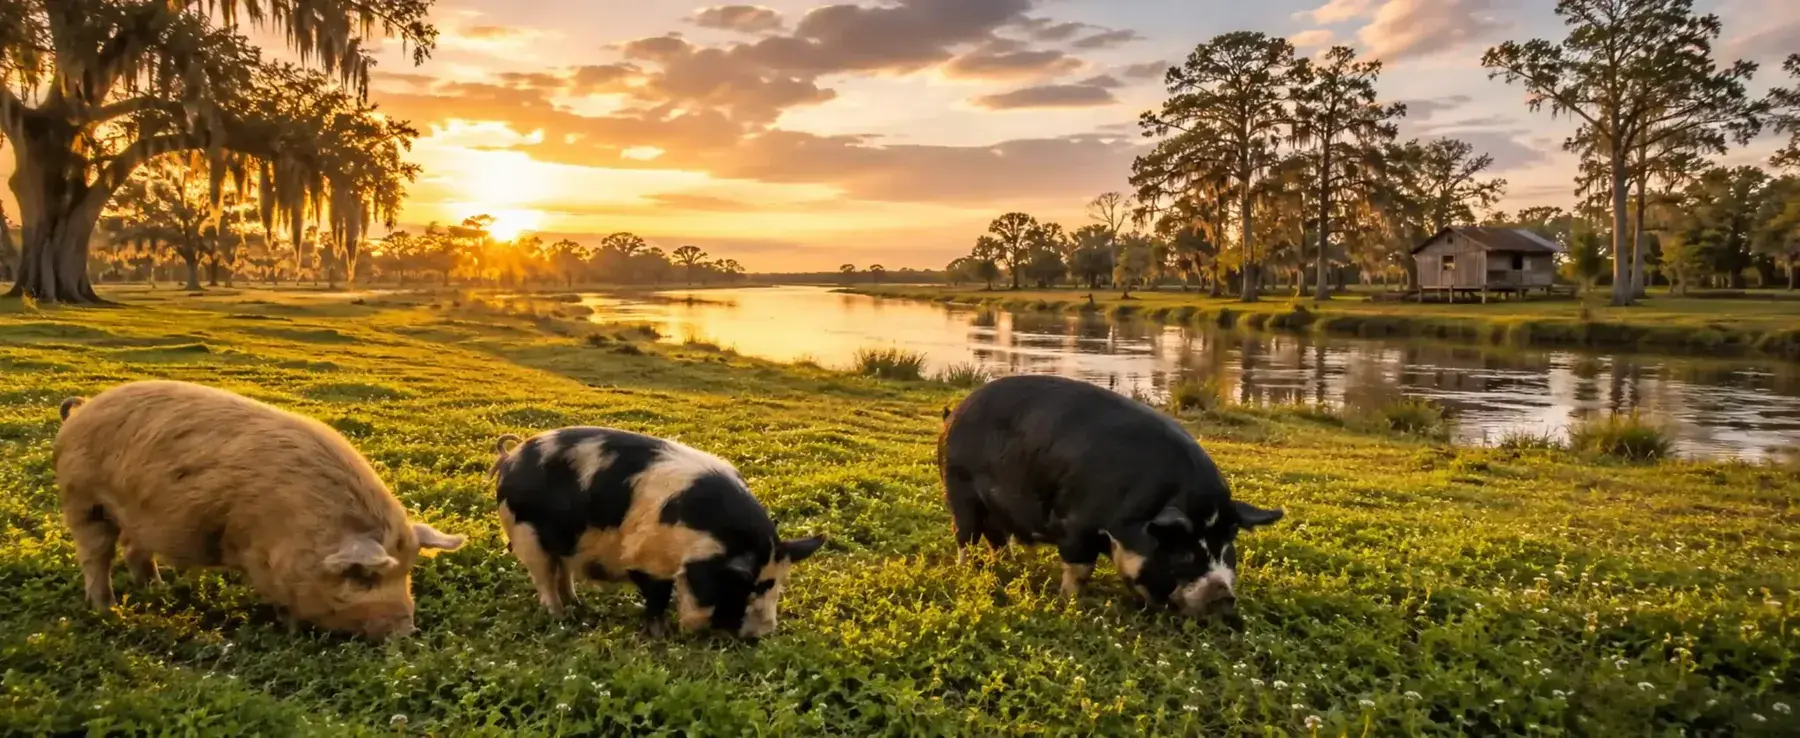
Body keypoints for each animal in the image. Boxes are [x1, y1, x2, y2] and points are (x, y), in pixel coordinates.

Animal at [53, 380, 466, 639]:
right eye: (363, 578)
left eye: (408, 572)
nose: (407, 633)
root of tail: (79, 412)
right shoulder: (261, 556)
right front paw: (292, 631)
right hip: (82, 500)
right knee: (96, 556)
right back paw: (108, 611)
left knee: (134, 550)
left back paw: (159, 590)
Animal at [490, 427, 825, 639]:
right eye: (744, 587)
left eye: (777, 585)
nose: (761, 634)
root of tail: (509, 459)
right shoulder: (645, 556)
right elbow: (658, 595)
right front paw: (662, 634)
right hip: (525, 535)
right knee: (544, 578)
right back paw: (560, 617)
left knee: (563, 572)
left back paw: (578, 605)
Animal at [937, 374, 1284, 618]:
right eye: (1184, 553)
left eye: (1227, 546)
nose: (1223, 595)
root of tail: (953, 413)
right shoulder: (1076, 524)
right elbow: (1080, 569)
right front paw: (1072, 601)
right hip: (958, 488)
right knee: (966, 534)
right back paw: (968, 571)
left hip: (994, 508)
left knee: (997, 536)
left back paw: (1011, 564)